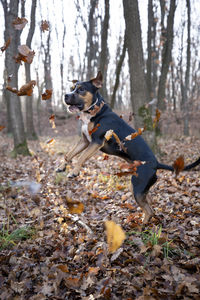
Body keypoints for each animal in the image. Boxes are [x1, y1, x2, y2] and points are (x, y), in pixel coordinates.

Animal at [57, 71, 200, 224]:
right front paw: (61, 166)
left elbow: (81, 157)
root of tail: (156, 163)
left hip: (137, 186)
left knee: (149, 210)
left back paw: (140, 226)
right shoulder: (84, 141)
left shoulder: (96, 142)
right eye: (72, 88)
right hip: (139, 188)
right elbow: (69, 154)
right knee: (151, 206)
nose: (65, 95)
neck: (94, 111)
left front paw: (74, 172)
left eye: (81, 89)